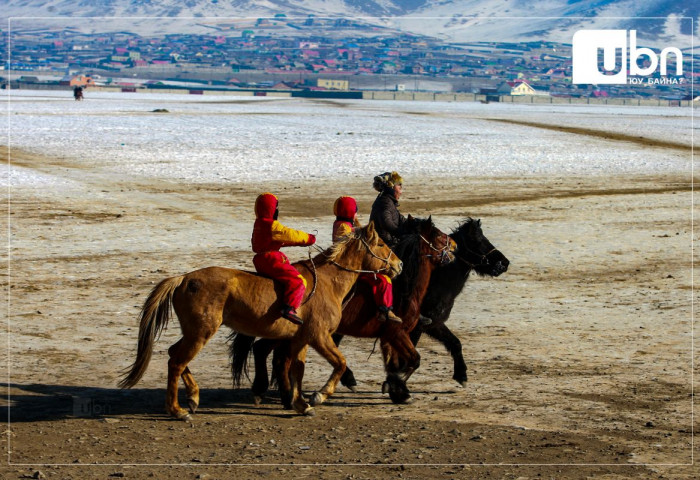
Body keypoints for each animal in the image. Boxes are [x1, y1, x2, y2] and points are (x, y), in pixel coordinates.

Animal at [119, 223, 402, 418]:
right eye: (381, 245)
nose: (398, 265)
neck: (328, 281)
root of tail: (184, 279)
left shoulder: (301, 339)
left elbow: (296, 370)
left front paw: (300, 404)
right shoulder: (320, 336)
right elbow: (340, 363)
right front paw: (319, 396)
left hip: (193, 332)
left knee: (173, 354)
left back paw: (193, 398)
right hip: (201, 332)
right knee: (177, 362)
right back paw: (178, 410)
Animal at [232, 216, 456, 406]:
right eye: (438, 235)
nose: (454, 245)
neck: (404, 288)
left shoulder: (388, 337)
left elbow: (396, 363)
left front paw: (397, 391)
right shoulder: (396, 332)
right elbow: (413, 361)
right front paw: (395, 385)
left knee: (264, 350)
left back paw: (271, 392)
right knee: (268, 353)